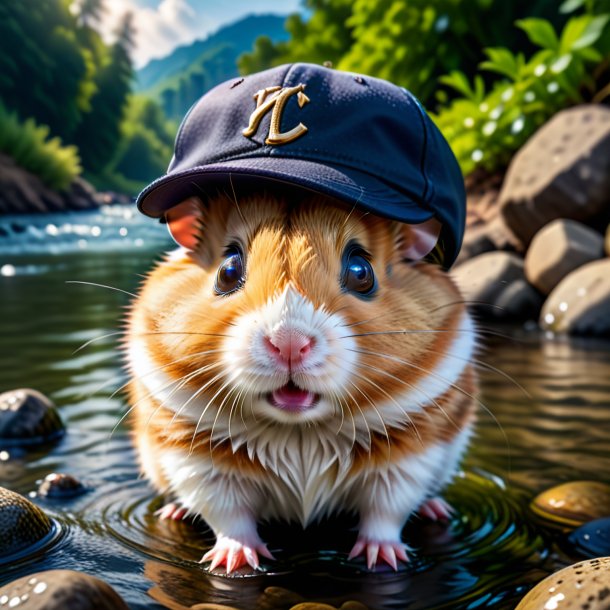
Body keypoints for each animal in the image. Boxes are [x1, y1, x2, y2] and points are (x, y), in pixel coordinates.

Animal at [126, 192, 478, 572]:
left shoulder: (408, 460)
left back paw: (436, 509)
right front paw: (234, 561)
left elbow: (385, 512)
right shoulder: (201, 464)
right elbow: (229, 517)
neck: (299, 433)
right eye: (228, 271)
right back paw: (173, 512)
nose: (289, 343)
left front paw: (382, 559)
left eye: (361, 272)